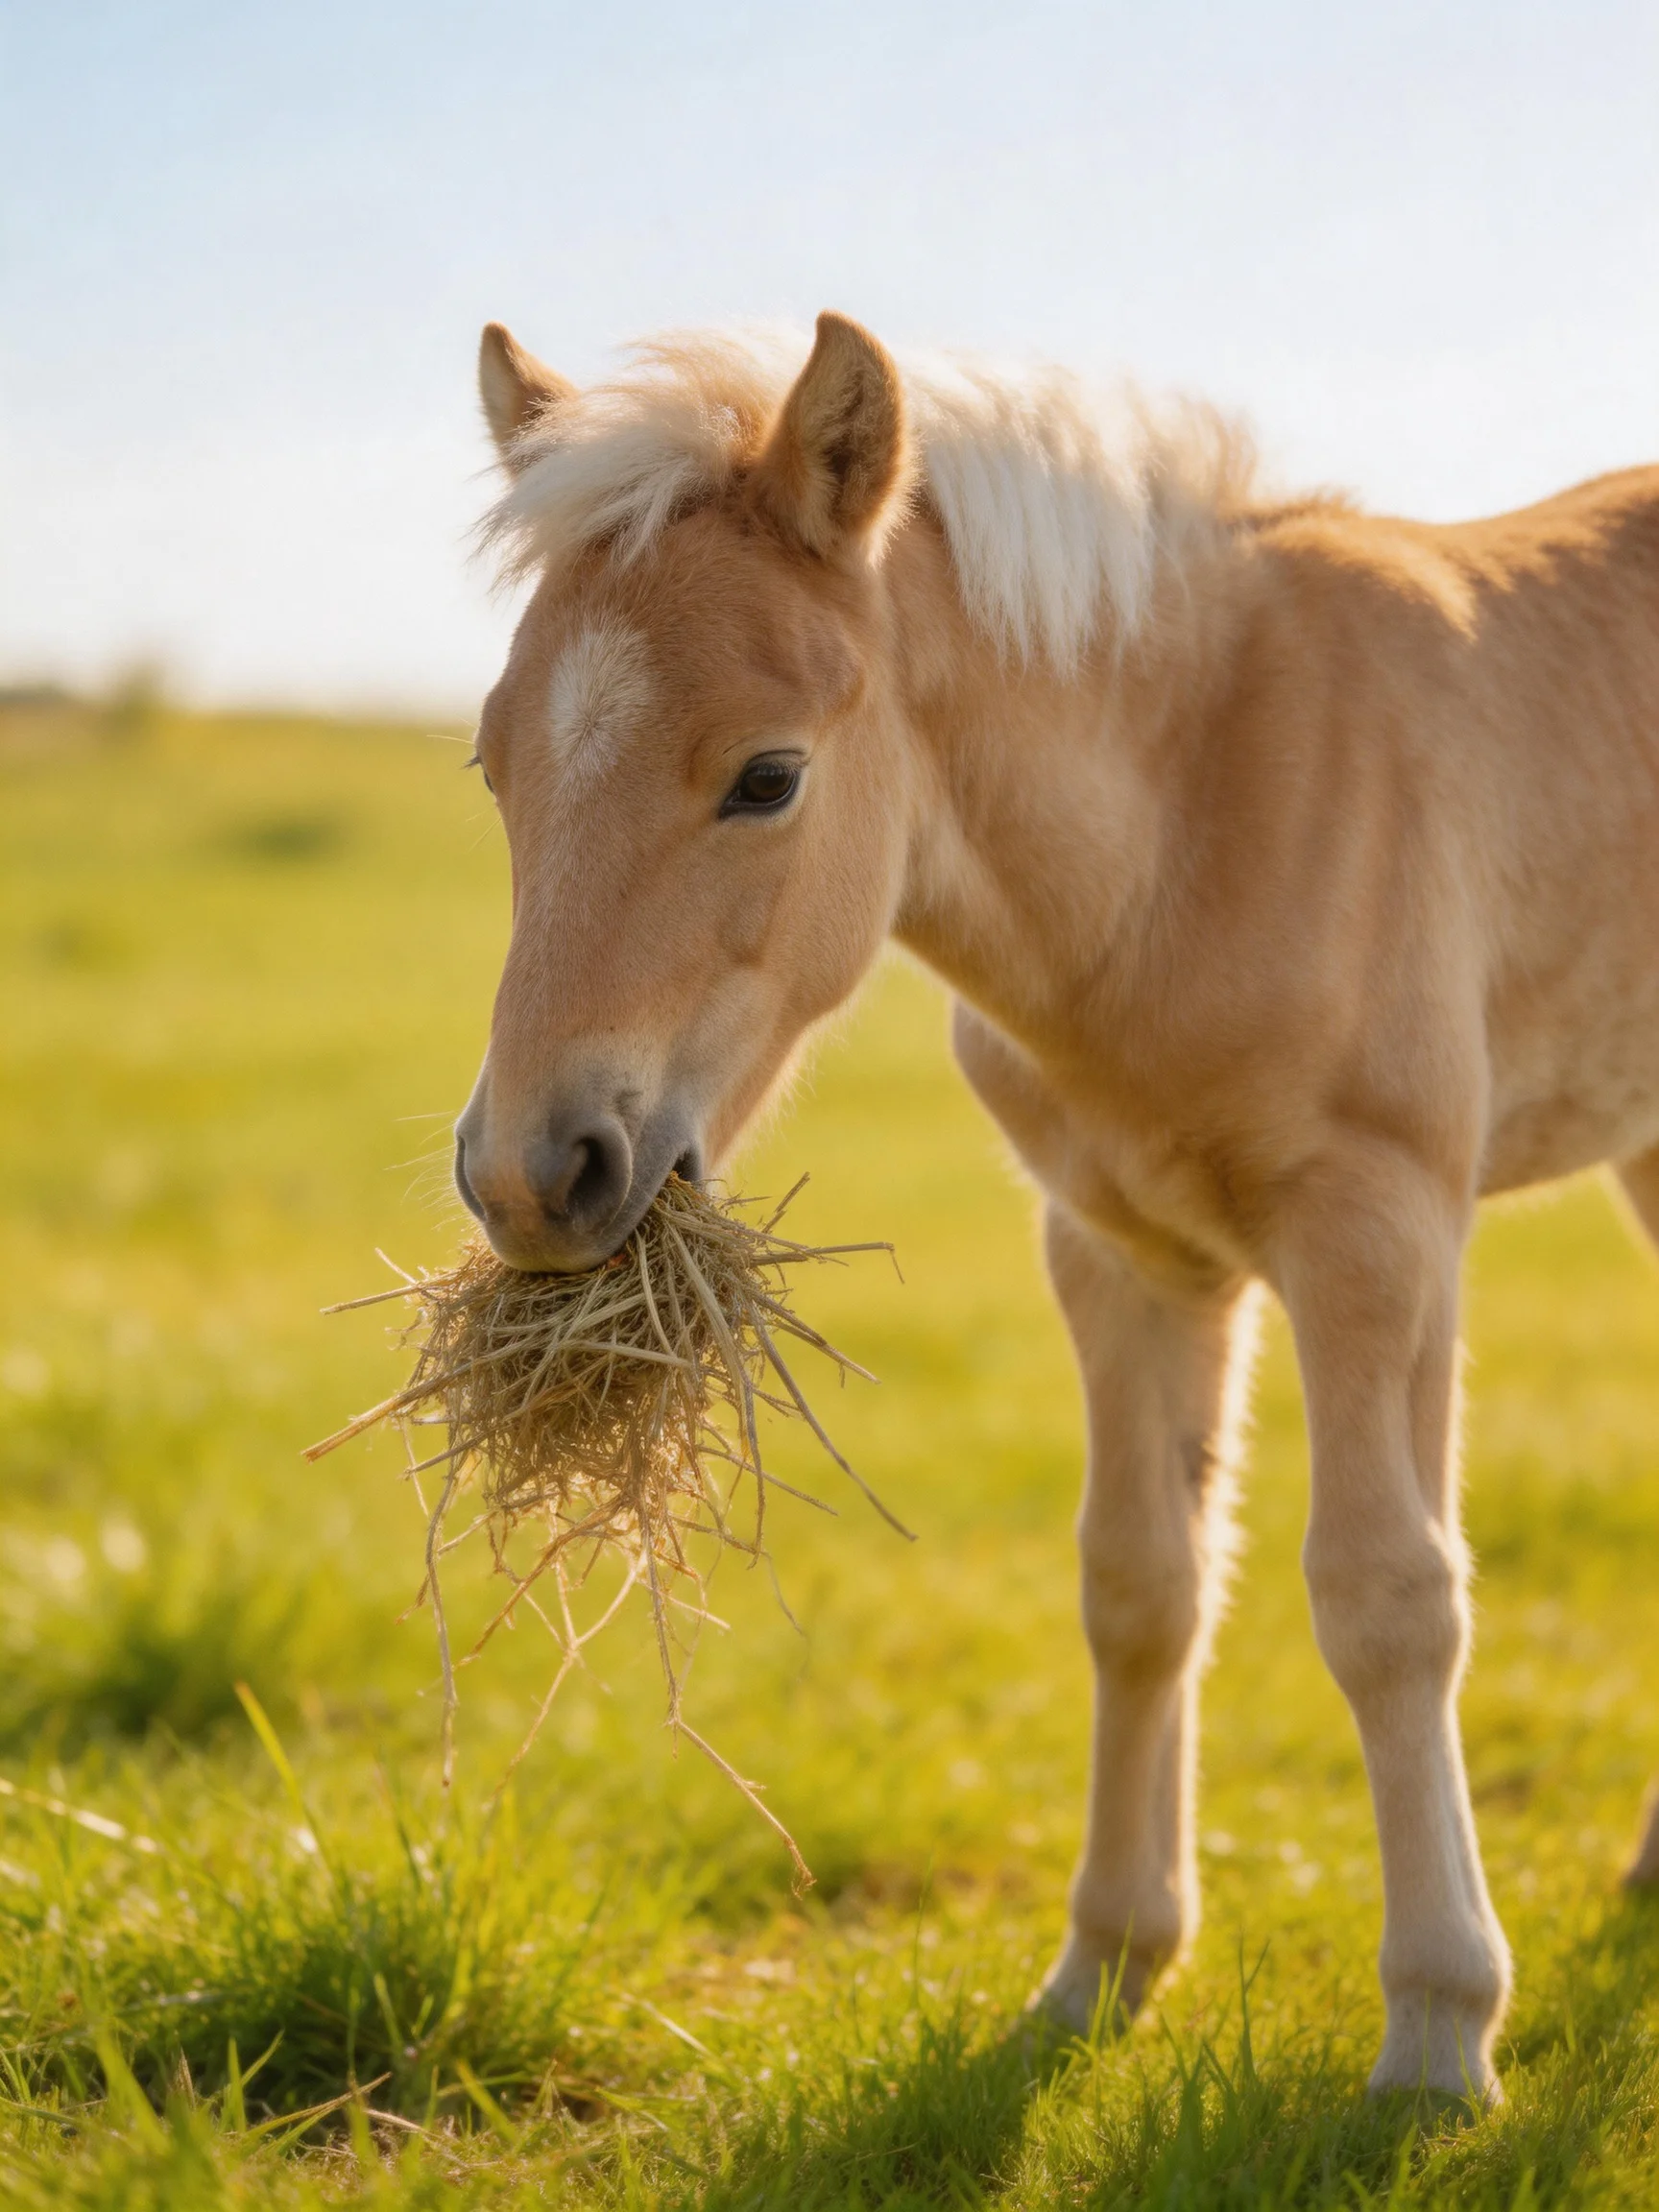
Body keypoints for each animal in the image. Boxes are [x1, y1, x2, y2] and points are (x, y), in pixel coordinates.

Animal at [451, 310, 1659, 2101]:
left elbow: (1388, 1596)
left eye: (766, 776)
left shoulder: (1375, 1227)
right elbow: (1140, 1585)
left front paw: (1440, 2032)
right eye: (493, 760)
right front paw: (1102, 1971)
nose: (537, 1175)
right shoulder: (1117, 1249)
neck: (1191, 814)